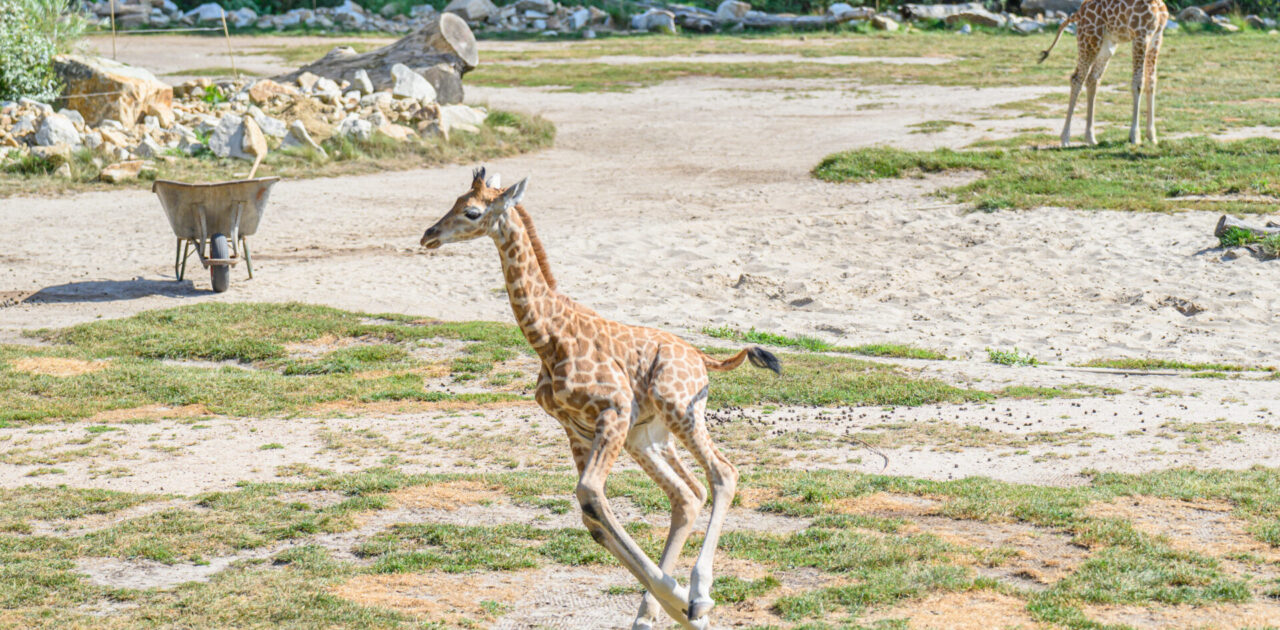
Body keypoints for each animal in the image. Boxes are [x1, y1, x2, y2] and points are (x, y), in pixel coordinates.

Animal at [419, 169, 778, 630]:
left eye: (472, 211)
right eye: (455, 200)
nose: (429, 235)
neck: (548, 338)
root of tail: (701, 357)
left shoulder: (613, 409)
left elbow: (590, 493)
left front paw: (684, 598)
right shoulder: (576, 427)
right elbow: (592, 515)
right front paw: (675, 603)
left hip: (680, 410)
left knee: (723, 474)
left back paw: (698, 593)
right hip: (646, 436)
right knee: (687, 495)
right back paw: (657, 614)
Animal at [1039, 0, 1172, 146]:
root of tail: (1078, 13)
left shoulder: (1157, 36)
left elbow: (1151, 82)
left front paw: (1152, 136)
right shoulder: (1141, 35)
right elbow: (1138, 83)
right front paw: (1134, 136)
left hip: (1106, 44)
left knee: (1092, 79)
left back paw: (1091, 138)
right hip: (1090, 39)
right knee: (1077, 78)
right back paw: (1065, 138)